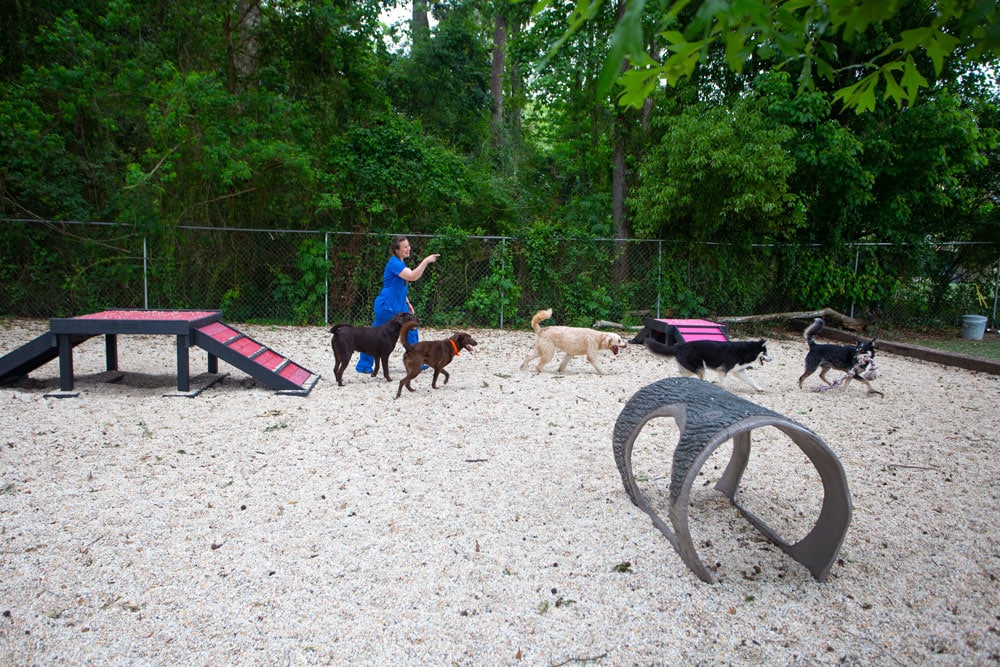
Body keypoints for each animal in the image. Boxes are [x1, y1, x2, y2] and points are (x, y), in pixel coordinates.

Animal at [640, 340, 772, 392]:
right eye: (765, 352)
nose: (771, 359)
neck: (746, 351)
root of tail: (680, 346)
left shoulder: (738, 371)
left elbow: (751, 380)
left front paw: (759, 388)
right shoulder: (722, 370)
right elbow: (724, 383)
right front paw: (719, 386)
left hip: (690, 369)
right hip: (701, 367)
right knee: (701, 378)